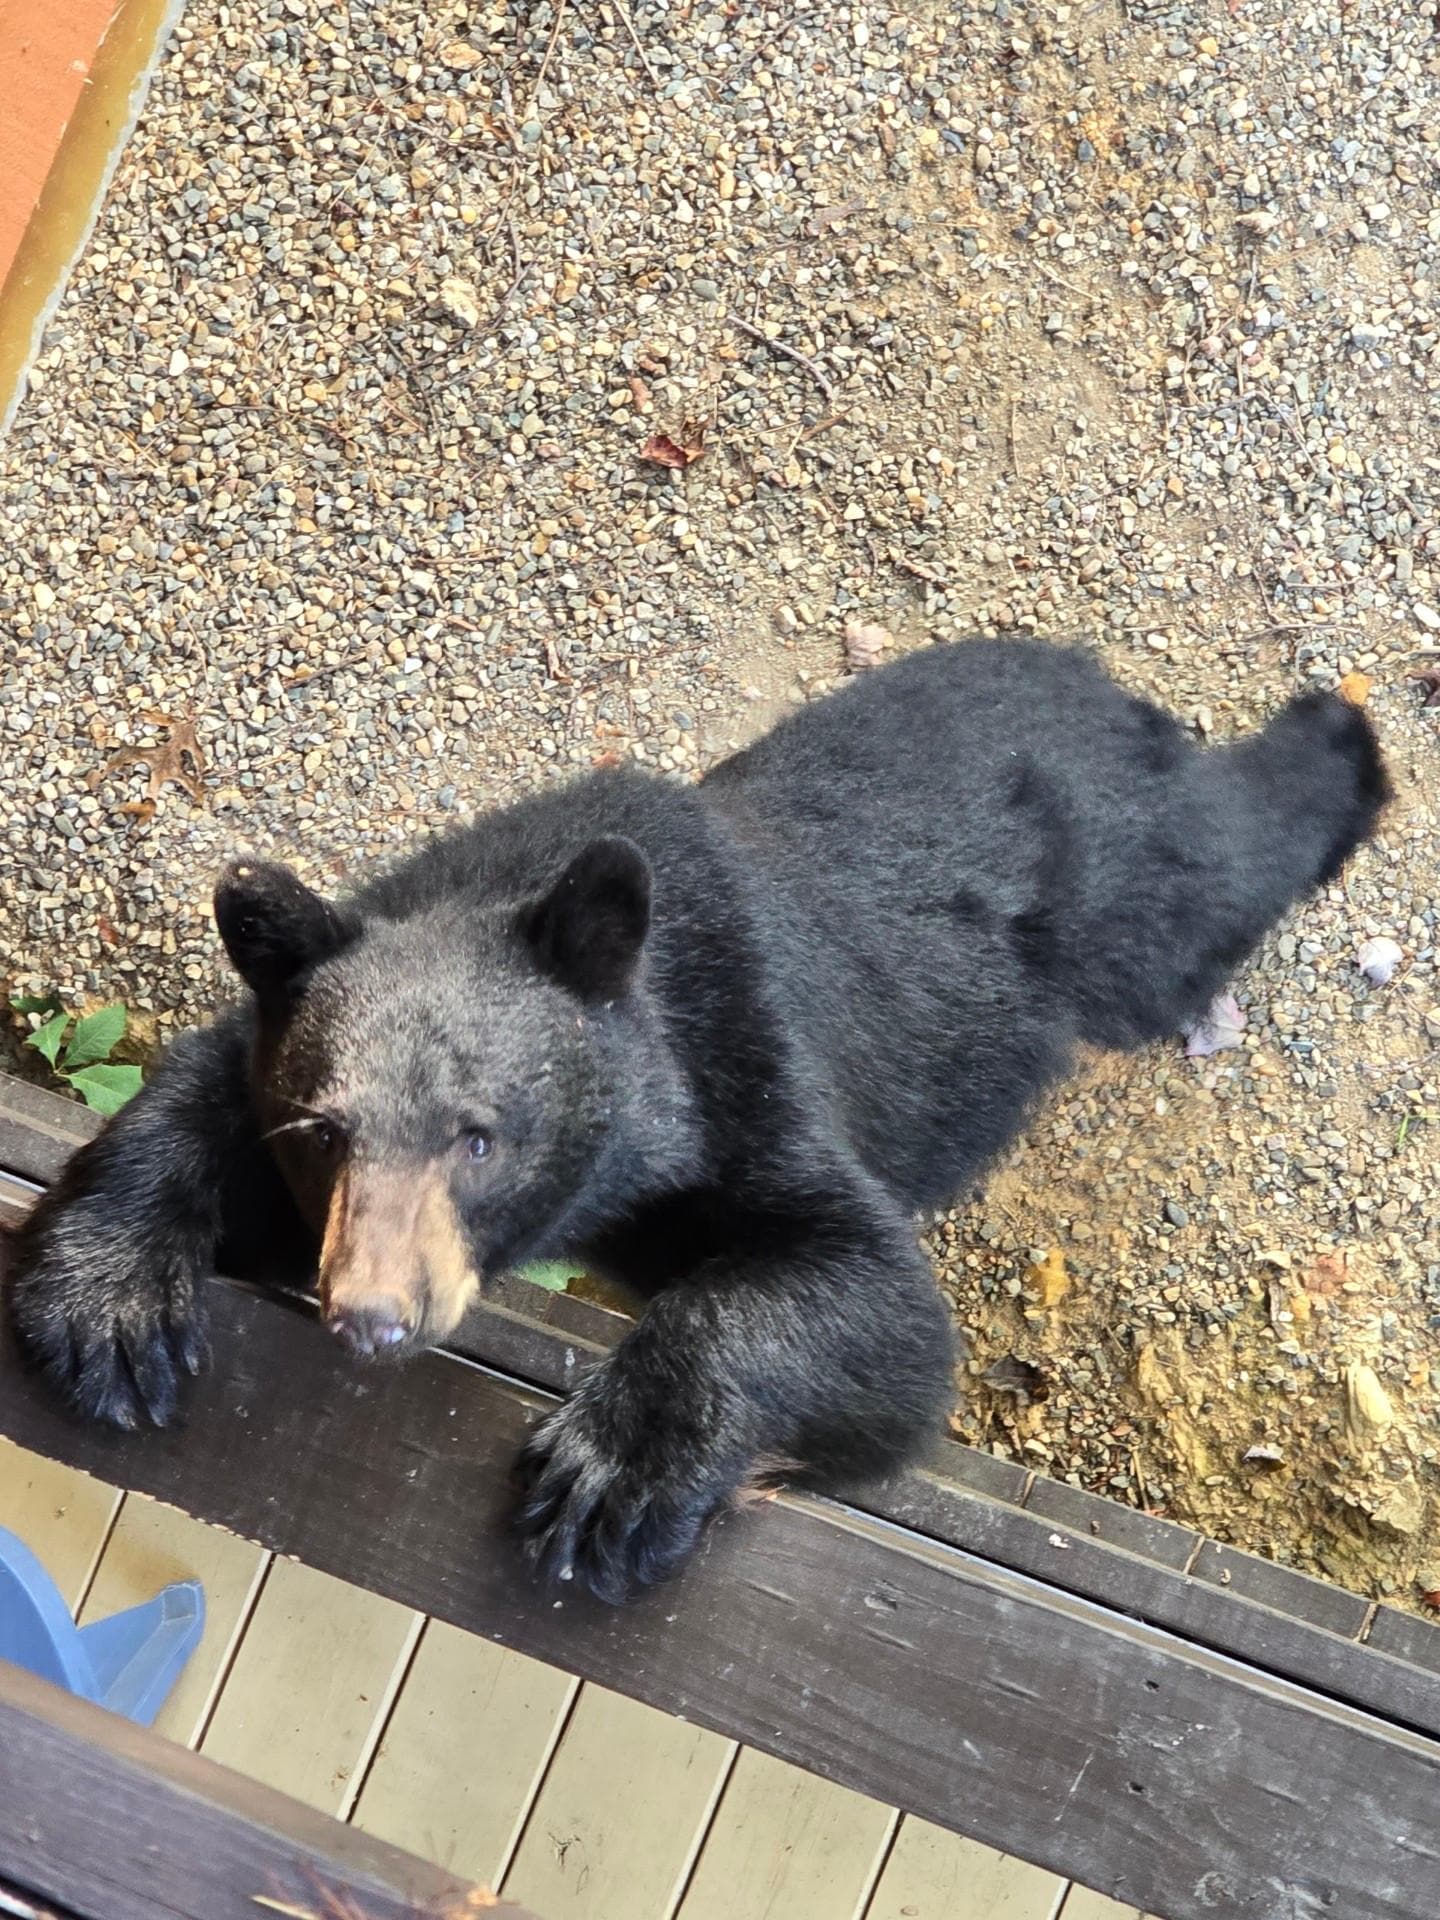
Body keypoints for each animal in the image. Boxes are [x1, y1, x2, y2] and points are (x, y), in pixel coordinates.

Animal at [5, 638, 1389, 1603]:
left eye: (480, 1137)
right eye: (323, 1137)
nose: (373, 1317)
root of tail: (1100, 681)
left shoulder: (745, 1049)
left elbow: (877, 1305)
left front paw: (607, 1480)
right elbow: (197, 1101)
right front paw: (108, 1314)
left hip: (1118, 892)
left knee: (1219, 859)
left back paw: (1339, 736)